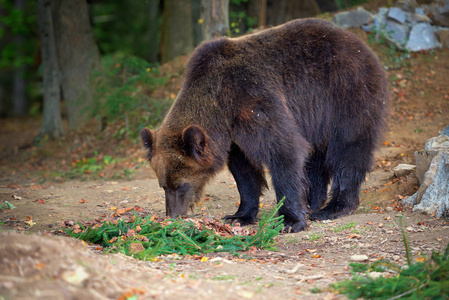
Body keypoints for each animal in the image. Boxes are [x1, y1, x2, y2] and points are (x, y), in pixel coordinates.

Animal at [141, 18, 388, 232]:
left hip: (344, 92)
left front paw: (290, 220)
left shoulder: (252, 98)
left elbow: (282, 148)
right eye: (163, 185)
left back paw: (334, 207)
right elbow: (244, 171)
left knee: (348, 149)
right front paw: (239, 216)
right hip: (315, 118)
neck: (218, 102)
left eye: (181, 185)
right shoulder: (233, 133)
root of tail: (357, 42)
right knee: (316, 158)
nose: (173, 215)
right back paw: (312, 201)